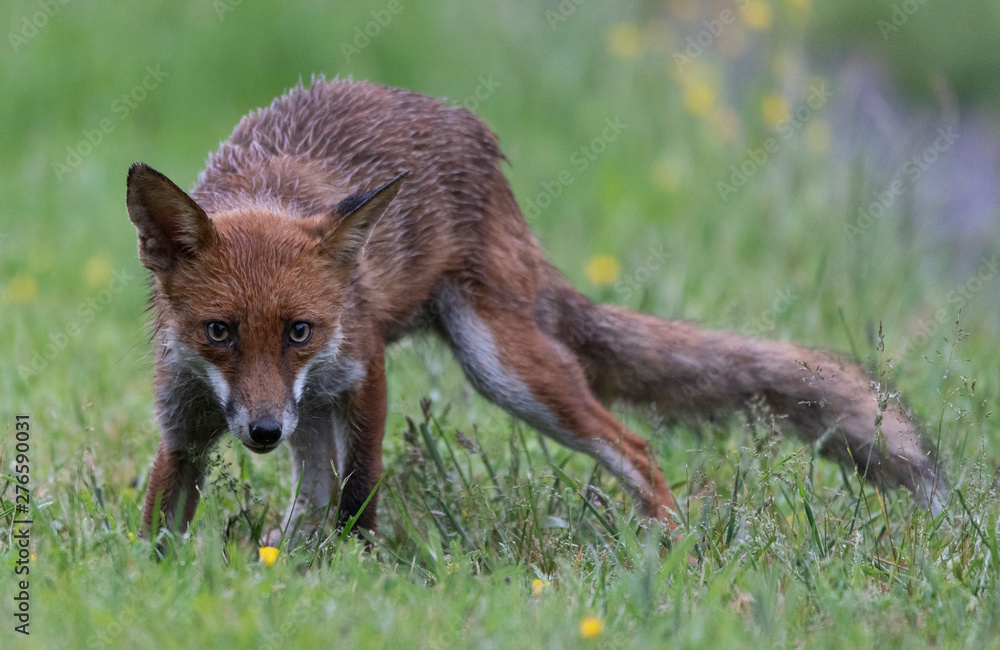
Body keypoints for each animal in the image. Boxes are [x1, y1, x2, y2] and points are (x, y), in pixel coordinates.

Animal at [129, 78, 946, 545]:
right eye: (220, 332)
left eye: (299, 331)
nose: (262, 432)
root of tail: (478, 138)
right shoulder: (186, 422)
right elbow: (161, 521)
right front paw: (160, 582)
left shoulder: (363, 369)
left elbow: (361, 497)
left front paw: (360, 571)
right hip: (330, 414)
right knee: (311, 491)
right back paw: (288, 557)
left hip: (504, 369)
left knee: (634, 446)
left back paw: (670, 543)